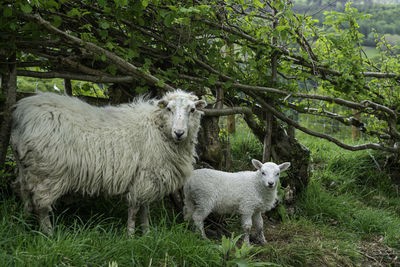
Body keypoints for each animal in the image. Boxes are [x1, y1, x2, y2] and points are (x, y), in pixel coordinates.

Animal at [10, 90, 206, 237]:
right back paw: (48, 234)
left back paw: (25, 225)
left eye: (192, 110)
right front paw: (131, 236)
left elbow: (145, 210)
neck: (157, 128)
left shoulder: (148, 179)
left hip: (26, 169)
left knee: (25, 195)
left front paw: (147, 233)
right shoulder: (143, 178)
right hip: (47, 172)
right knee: (42, 206)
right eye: (169, 109)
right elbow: (134, 210)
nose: (179, 132)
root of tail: (22, 115)